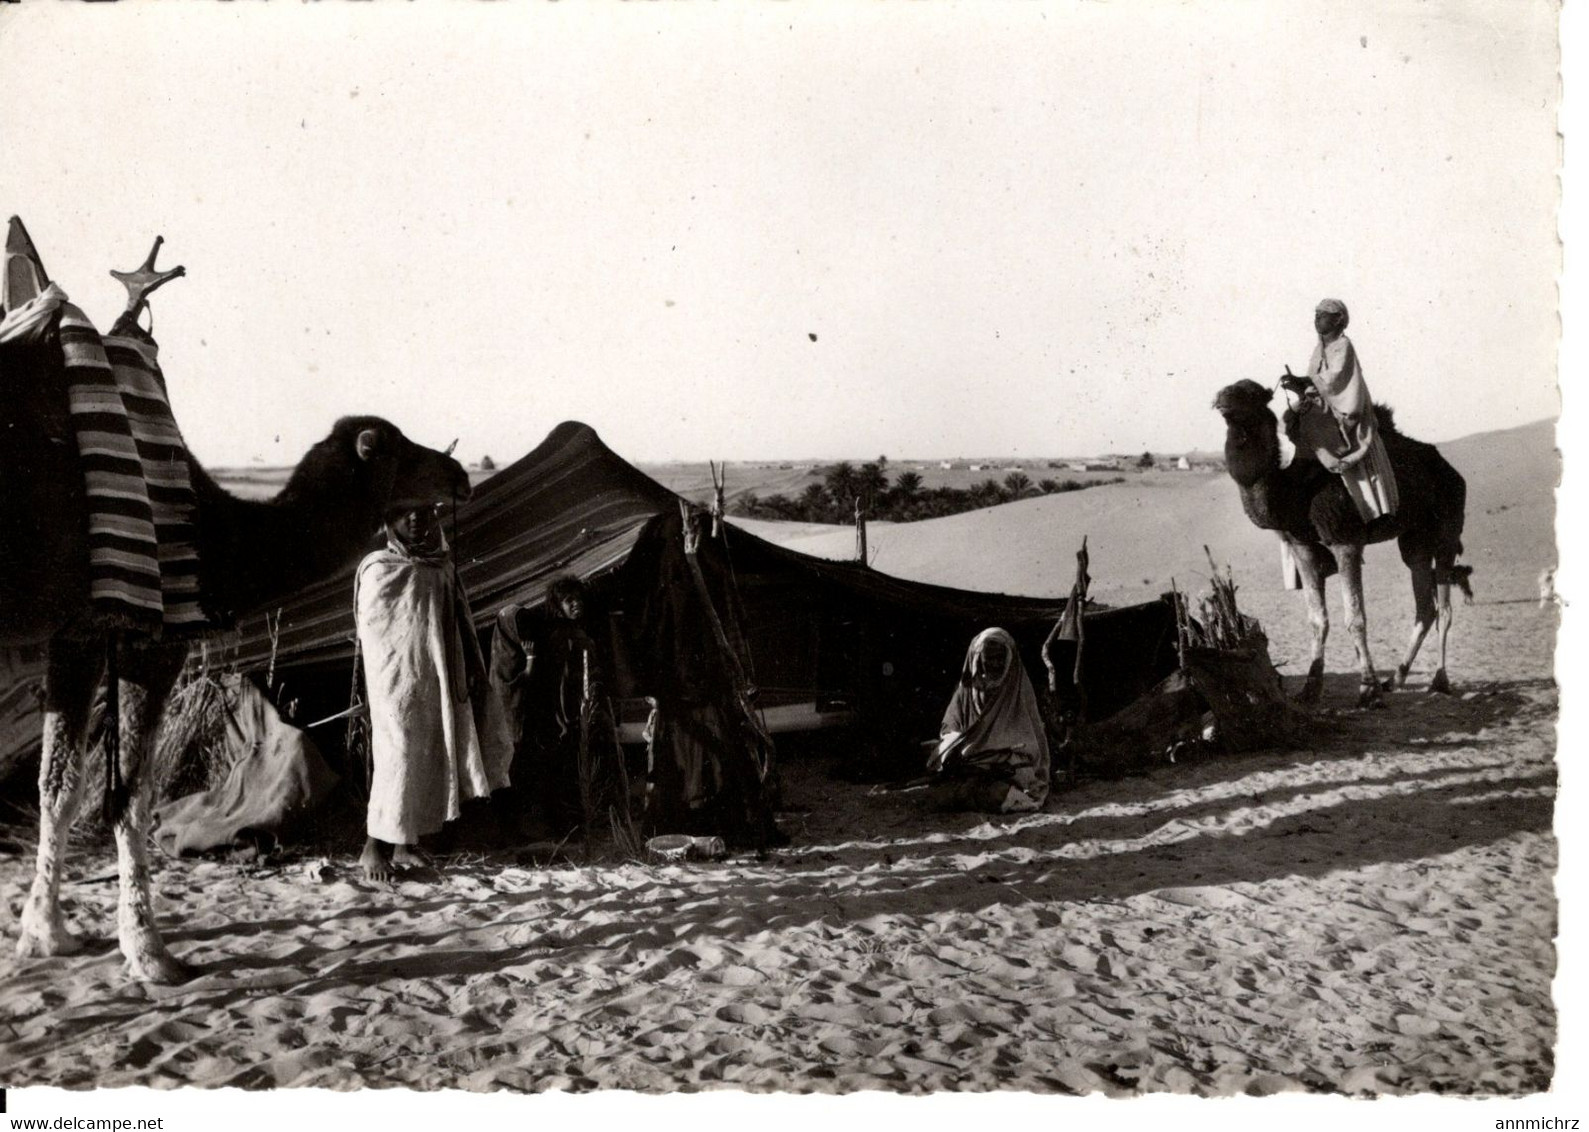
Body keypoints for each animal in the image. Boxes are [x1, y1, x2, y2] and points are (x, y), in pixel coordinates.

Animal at [4, 222, 470, 979]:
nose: (459, 472)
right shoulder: (152, 635)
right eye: (400, 451)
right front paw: (150, 952)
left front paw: (46, 934)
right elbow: (128, 794)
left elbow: (59, 784)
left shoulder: (74, 632)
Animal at [1213, 375, 1461, 702]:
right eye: (1227, 390)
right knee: (1425, 605)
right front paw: (1309, 688)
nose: (1222, 400)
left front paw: (1367, 689)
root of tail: (1452, 470)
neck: (1294, 490)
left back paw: (1439, 680)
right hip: (1414, 537)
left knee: (1444, 608)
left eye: (1251, 394)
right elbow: (1317, 618)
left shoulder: (1346, 540)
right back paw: (1395, 679)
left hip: (1447, 525)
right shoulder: (1302, 546)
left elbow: (1355, 618)